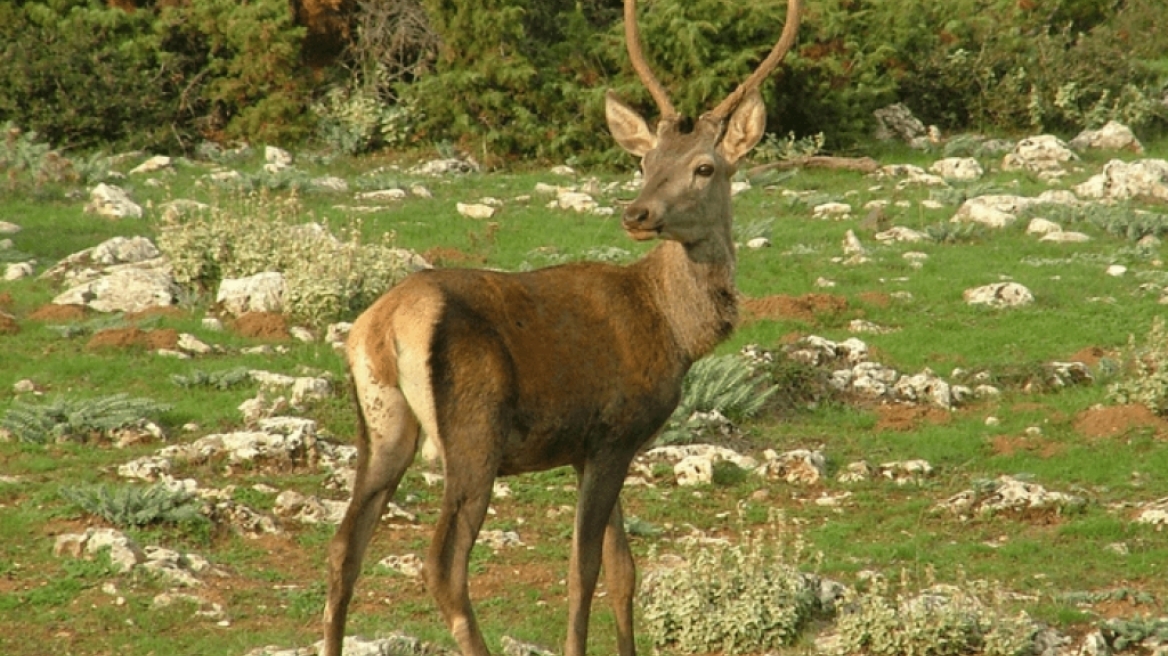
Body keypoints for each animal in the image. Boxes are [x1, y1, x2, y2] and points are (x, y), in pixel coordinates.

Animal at [322, 0, 803, 648]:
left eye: (704, 166)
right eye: (646, 161)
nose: (637, 212)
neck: (673, 331)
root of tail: (386, 326)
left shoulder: (595, 447)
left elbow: (625, 571)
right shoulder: (614, 429)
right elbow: (584, 569)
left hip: (381, 426)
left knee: (343, 548)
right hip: (473, 432)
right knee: (443, 564)